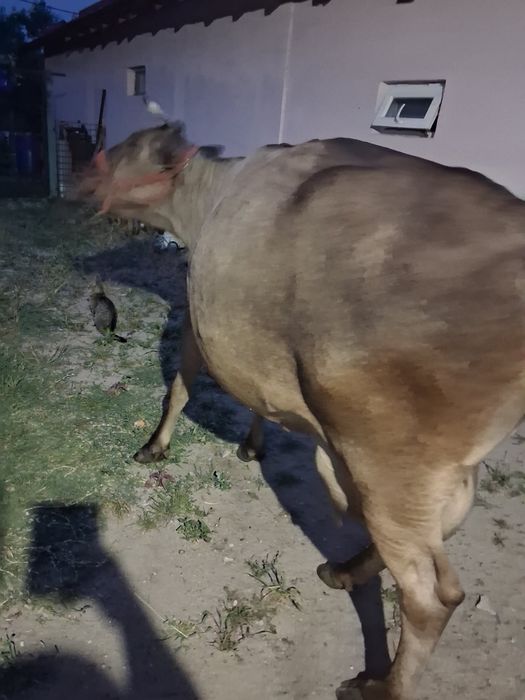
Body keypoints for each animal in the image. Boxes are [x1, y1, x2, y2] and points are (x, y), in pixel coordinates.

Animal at [77, 122, 525, 700]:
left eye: (127, 149)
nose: (83, 172)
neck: (207, 198)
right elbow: (257, 401)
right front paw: (253, 444)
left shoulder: (199, 323)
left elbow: (179, 386)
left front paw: (154, 446)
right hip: (434, 470)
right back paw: (344, 573)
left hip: (391, 464)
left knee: (431, 596)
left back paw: (379, 685)